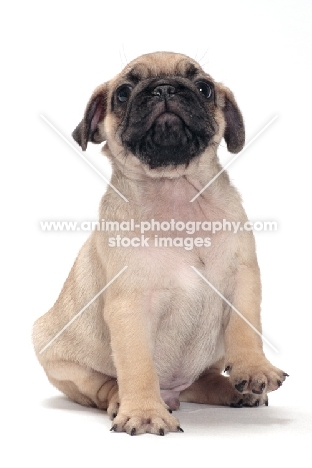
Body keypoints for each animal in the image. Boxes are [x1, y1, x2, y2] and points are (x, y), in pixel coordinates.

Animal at [33, 53, 288, 436]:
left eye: (204, 88)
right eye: (123, 93)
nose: (164, 88)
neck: (175, 192)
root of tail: (175, 391)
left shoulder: (242, 279)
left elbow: (246, 327)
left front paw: (253, 367)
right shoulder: (131, 307)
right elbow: (137, 364)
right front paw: (143, 412)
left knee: (203, 378)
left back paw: (233, 390)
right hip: (60, 359)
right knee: (103, 385)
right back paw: (121, 401)